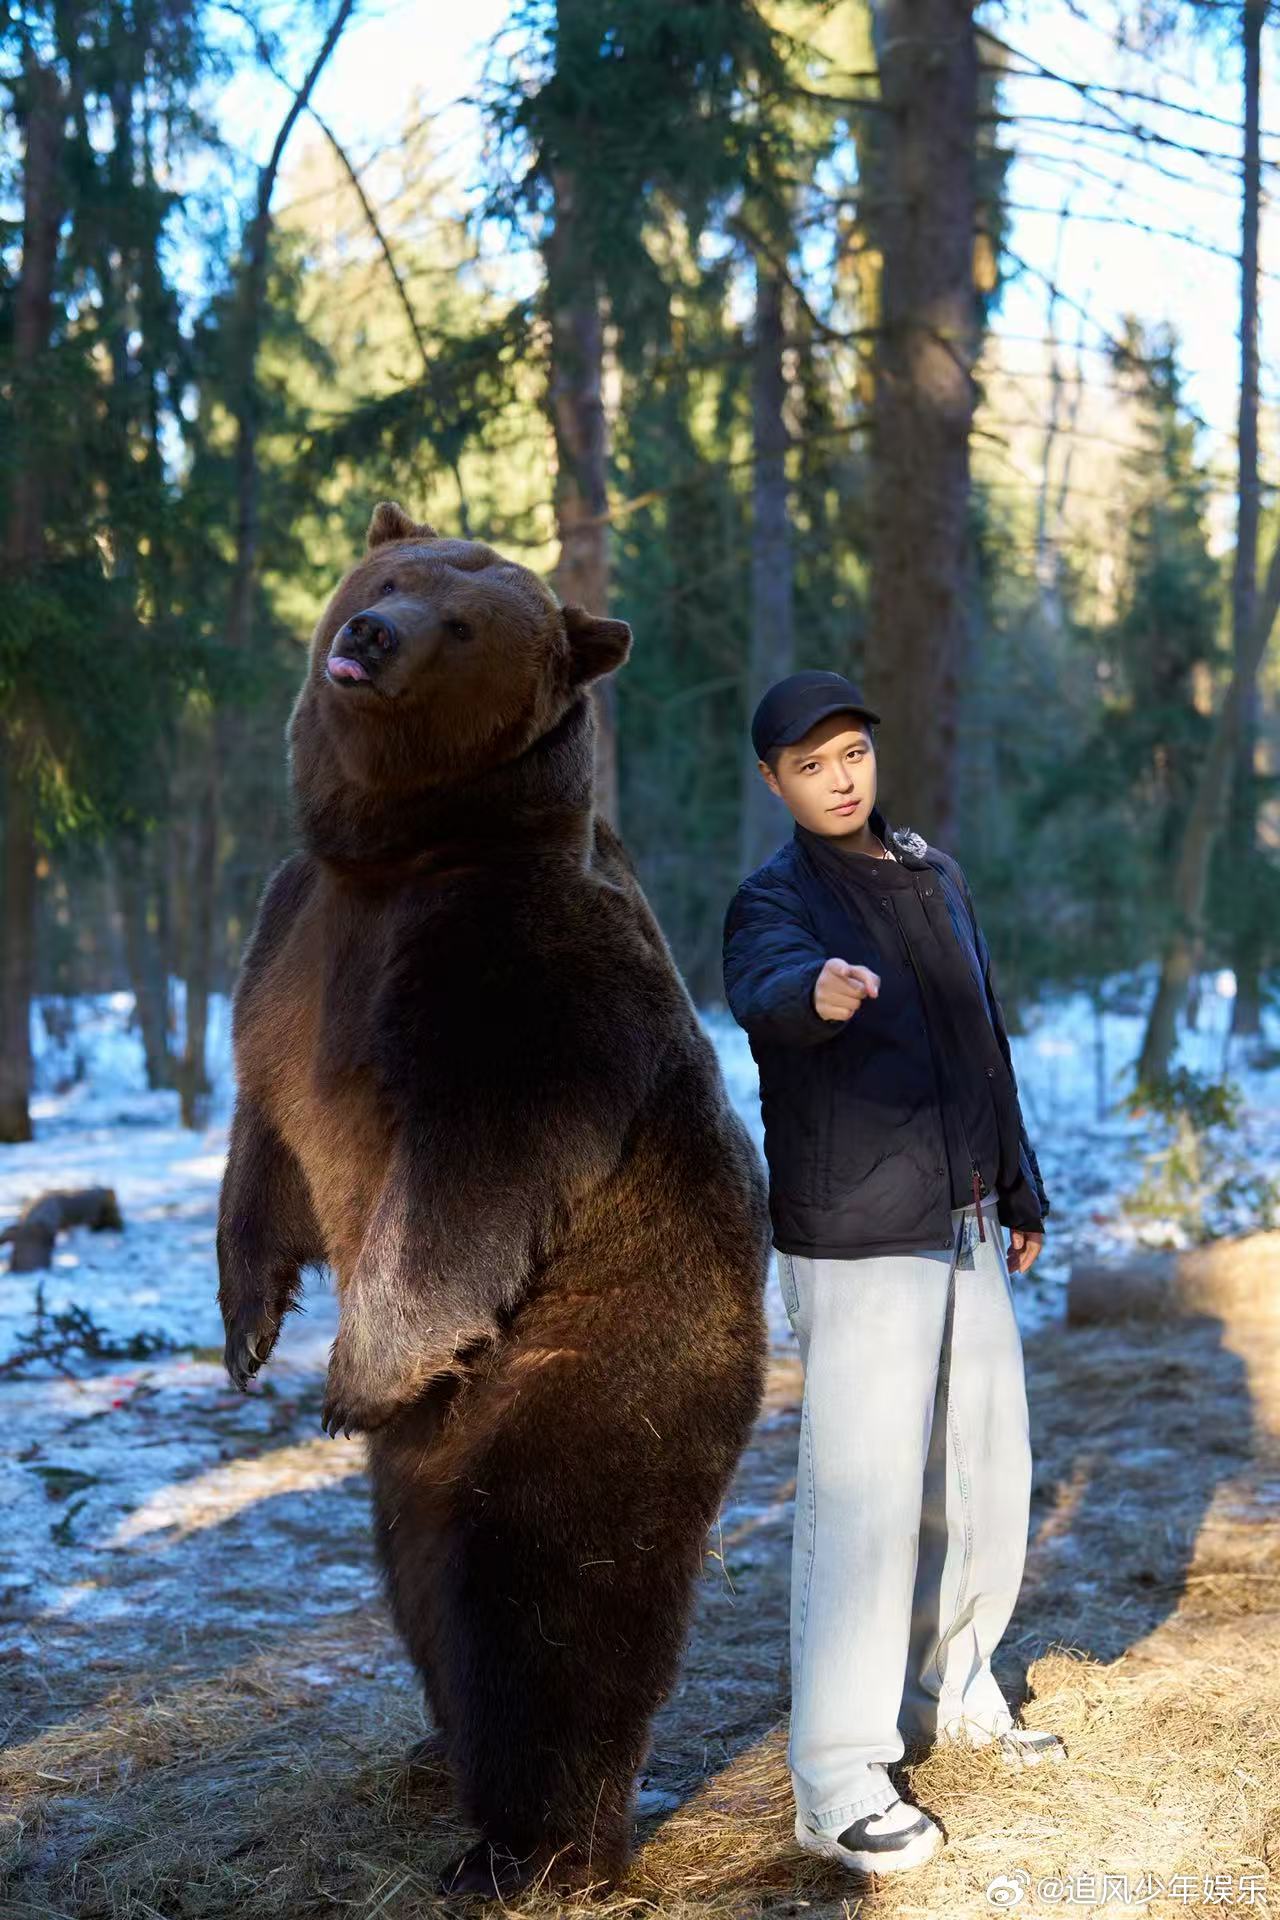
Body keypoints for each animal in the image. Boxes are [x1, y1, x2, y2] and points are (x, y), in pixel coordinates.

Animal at [216, 502, 771, 1897]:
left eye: (462, 622)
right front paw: (248, 1321)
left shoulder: (514, 979)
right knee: (419, 1585)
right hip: (419, 1473)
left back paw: (528, 1849)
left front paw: (353, 1372)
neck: (397, 853)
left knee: (544, 1592)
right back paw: (433, 1758)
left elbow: (467, 1171)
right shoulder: (289, 943)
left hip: (587, 1367)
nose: (369, 635)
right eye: (396, 571)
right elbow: (263, 1136)